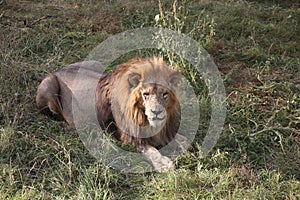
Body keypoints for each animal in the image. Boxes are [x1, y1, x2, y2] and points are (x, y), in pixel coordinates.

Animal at [36, 56, 188, 172]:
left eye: (165, 94)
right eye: (146, 94)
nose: (156, 112)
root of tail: (56, 71)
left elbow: (179, 140)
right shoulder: (130, 137)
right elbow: (152, 151)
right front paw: (164, 164)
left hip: (96, 64)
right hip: (49, 85)